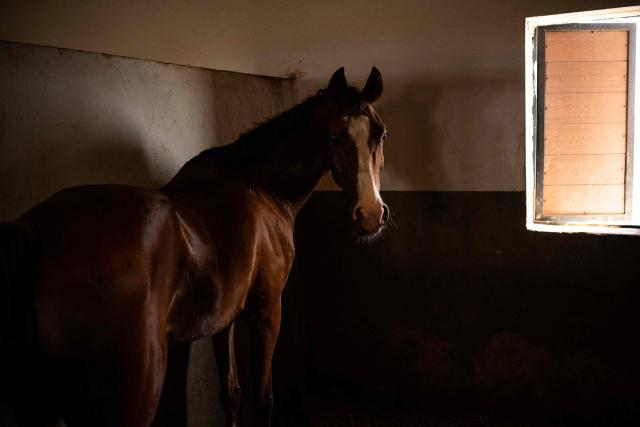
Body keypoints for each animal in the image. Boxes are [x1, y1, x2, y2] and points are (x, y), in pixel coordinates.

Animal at [0, 66, 389, 427]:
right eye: (334, 135)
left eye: (381, 133)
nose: (370, 215)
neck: (260, 187)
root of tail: (34, 231)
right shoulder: (267, 310)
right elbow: (264, 400)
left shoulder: (224, 317)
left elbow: (231, 393)